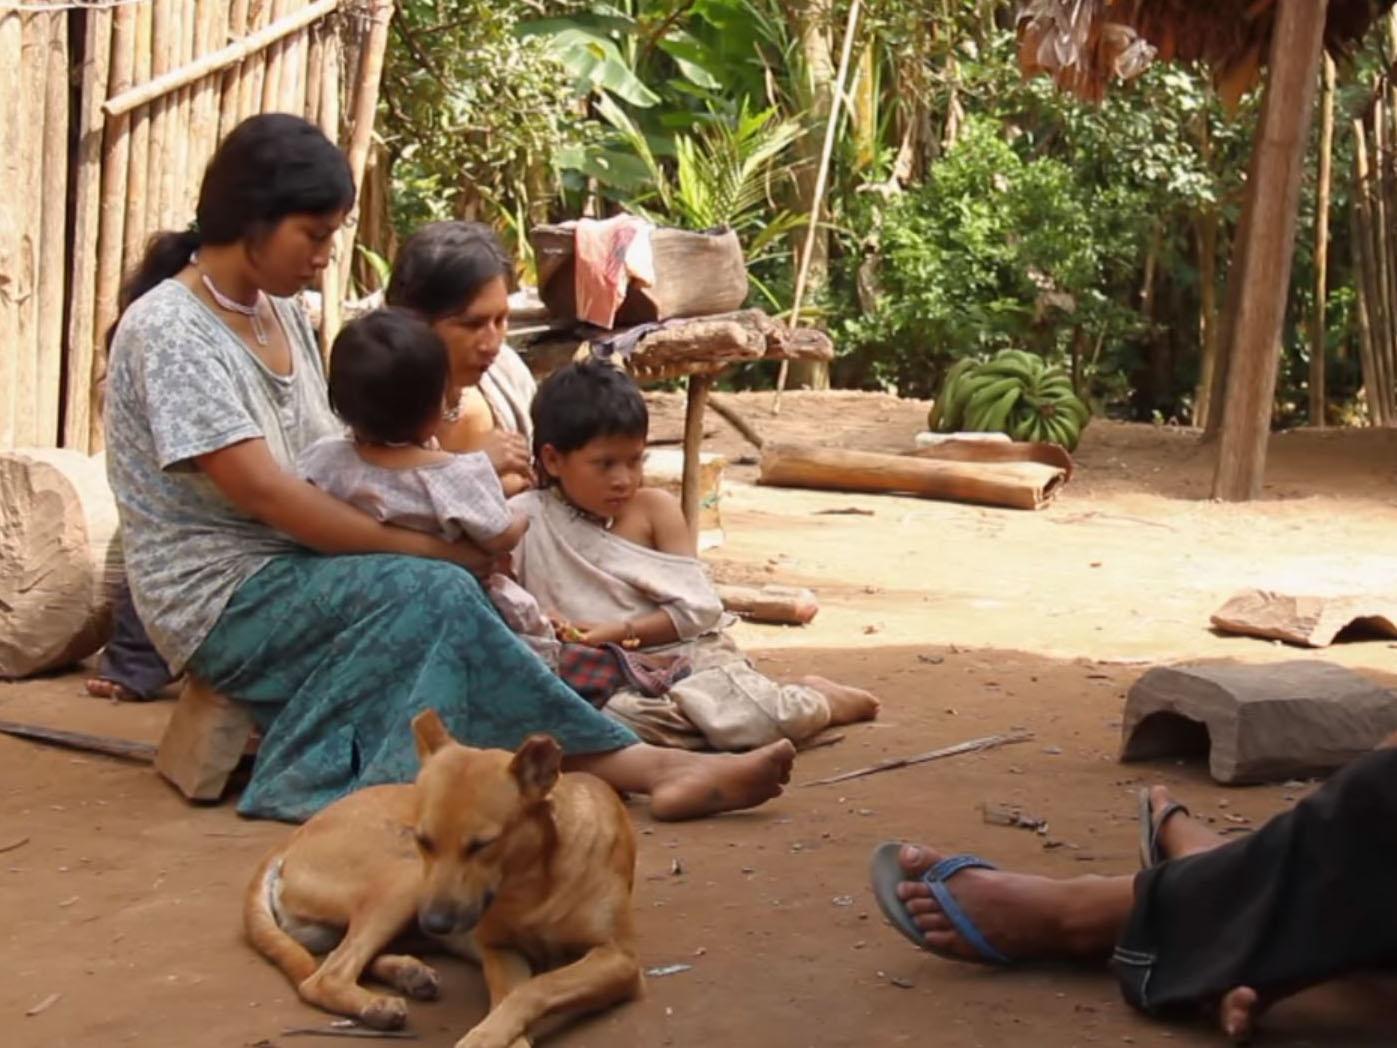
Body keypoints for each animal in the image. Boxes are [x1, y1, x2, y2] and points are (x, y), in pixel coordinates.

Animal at [244, 709, 642, 1045]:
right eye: (424, 840)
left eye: (482, 844)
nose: (434, 922)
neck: (533, 884)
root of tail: (289, 839)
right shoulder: (500, 950)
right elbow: (514, 994)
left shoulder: (619, 959)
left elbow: (536, 988)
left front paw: (486, 1036)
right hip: (405, 881)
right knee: (325, 975)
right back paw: (378, 1003)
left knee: (340, 958)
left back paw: (407, 974)